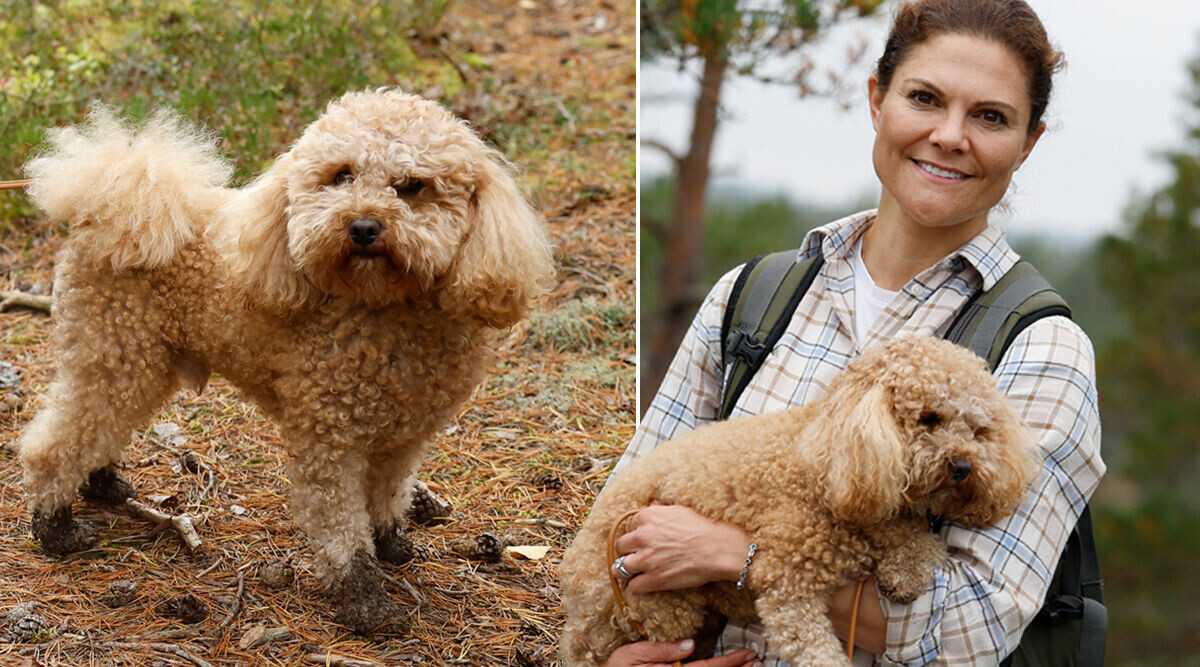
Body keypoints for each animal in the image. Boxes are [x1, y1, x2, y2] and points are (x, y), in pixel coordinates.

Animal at [561, 338, 1041, 667]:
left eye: (978, 430)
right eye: (928, 418)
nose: (963, 466)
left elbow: (925, 544)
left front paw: (904, 573)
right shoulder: (787, 581)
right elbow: (813, 647)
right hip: (658, 607)